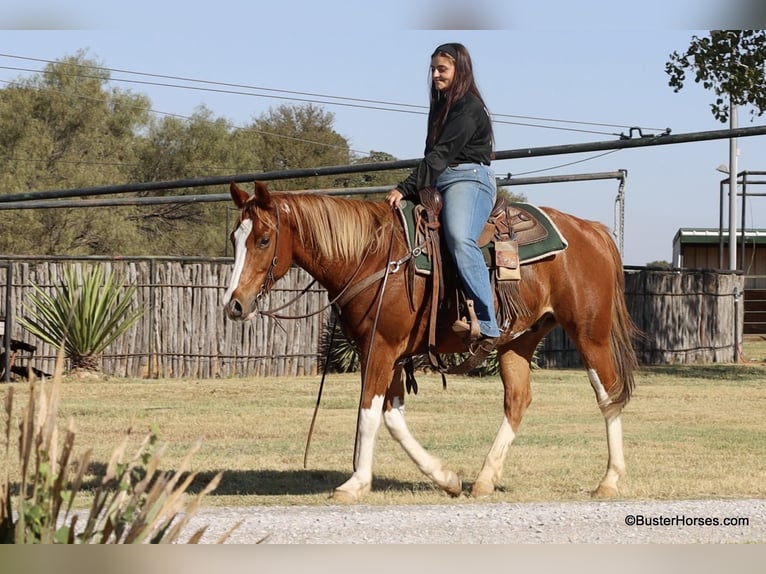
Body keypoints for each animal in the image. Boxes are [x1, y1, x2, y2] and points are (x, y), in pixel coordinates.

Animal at [223, 180, 639, 503]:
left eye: (264, 239)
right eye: (234, 238)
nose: (234, 304)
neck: (374, 256)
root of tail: (592, 230)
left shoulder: (381, 349)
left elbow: (369, 413)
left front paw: (356, 482)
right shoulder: (387, 353)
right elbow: (392, 417)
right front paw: (447, 478)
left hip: (590, 333)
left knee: (608, 394)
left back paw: (609, 480)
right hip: (518, 341)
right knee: (518, 400)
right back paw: (484, 479)